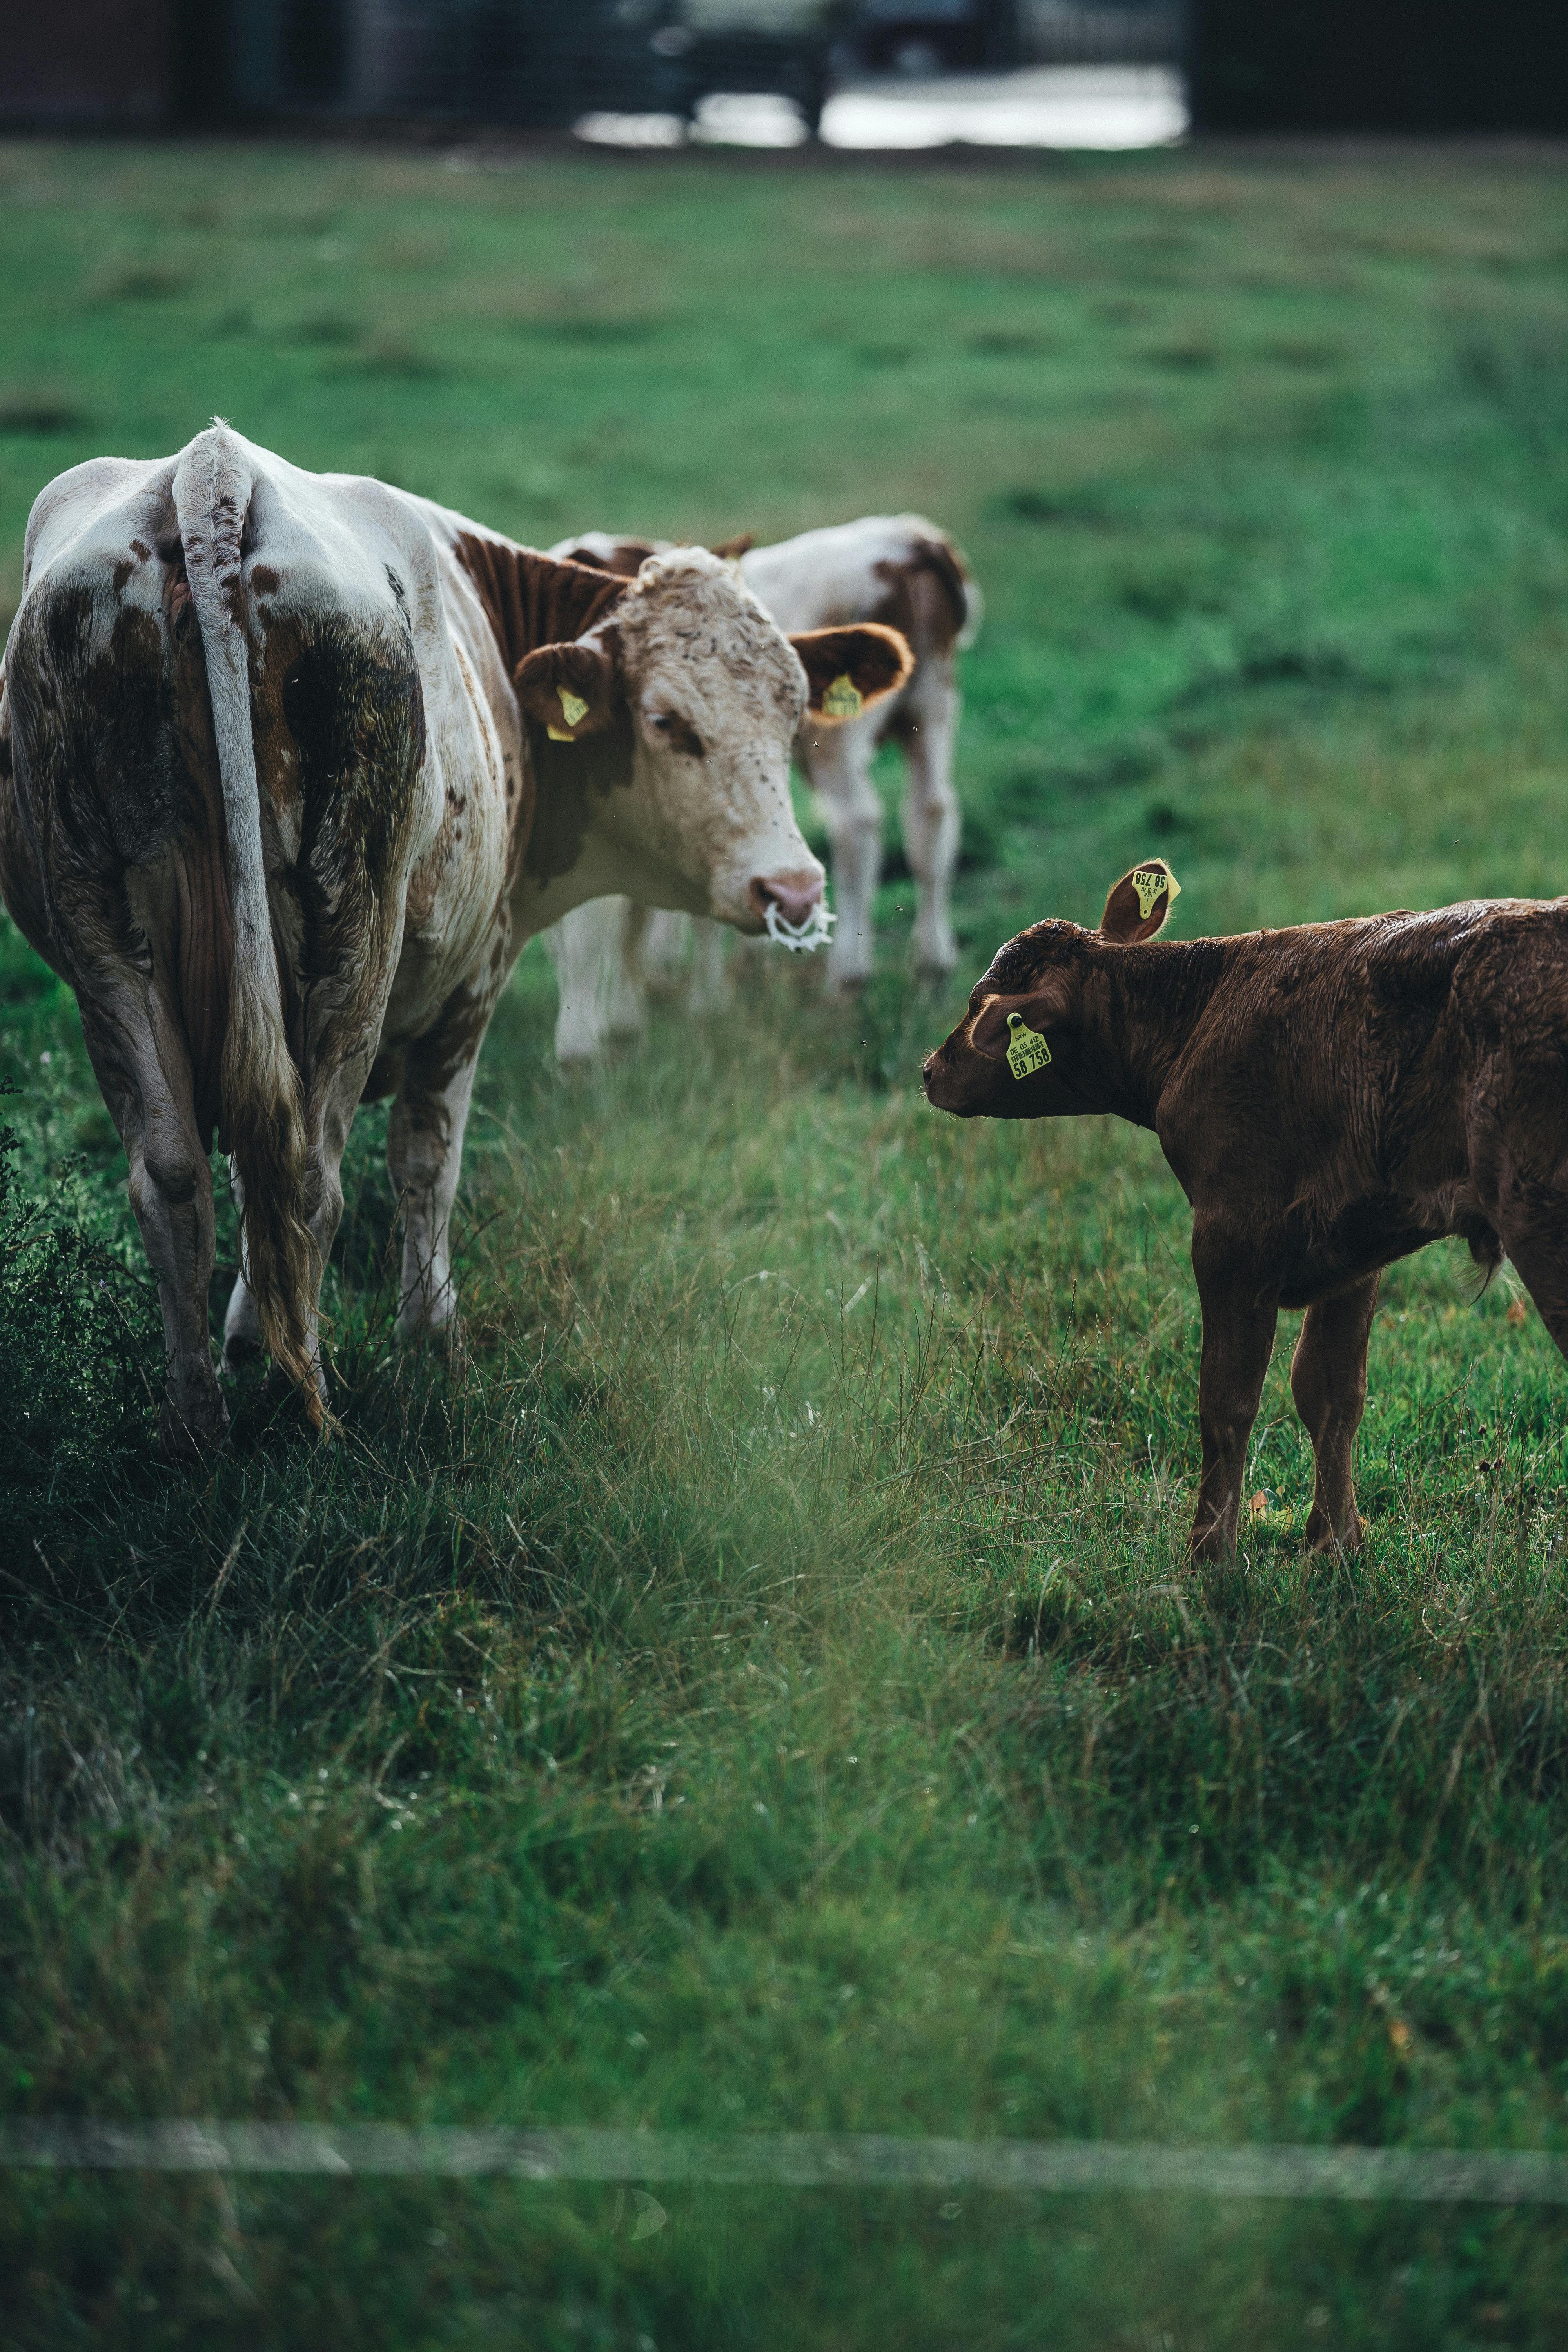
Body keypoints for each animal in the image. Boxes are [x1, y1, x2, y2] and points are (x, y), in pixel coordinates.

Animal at [0, 423, 912, 1449]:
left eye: (794, 713)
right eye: (666, 721)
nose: (791, 889)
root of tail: (211, 470)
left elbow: (248, 1179)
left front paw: (246, 1340)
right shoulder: (475, 981)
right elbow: (425, 1158)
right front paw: (431, 1348)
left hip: (106, 948)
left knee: (177, 1177)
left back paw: (201, 1425)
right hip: (351, 943)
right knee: (311, 1176)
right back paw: (311, 1408)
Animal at [545, 520, 973, 1063]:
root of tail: (910, 542)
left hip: (839, 740)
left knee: (856, 826)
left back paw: (848, 975)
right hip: (933, 707)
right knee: (931, 816)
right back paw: (933, 966)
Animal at [926, 866, 1568, 1562]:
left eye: (982, 1004)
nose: (929, 1069)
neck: (1196, 1016)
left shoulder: (1232, 1233)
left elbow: (1226, 1400)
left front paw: (1209, 1554)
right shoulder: (1353, 1242)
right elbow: (1330, 1393)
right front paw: (1336, 1544)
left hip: (1539, 1219)